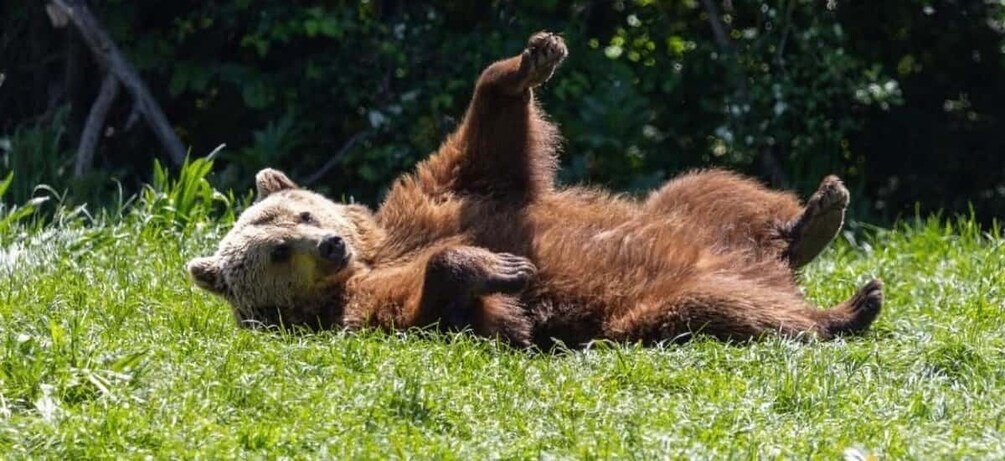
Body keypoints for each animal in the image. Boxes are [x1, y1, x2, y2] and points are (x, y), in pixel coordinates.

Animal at [188, 32, 882, 348]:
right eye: (277, 250)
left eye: (304, 214)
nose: (331, 245)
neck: (372, 255)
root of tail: (767, 270)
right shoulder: (358, 311)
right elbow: (449, 311)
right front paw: (500, 267)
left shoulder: (434, 204)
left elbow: (484, 153)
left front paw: (532, 59)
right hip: (652, 307)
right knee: (726, 309)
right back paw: (847, 308)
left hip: (695, 219)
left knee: (708, 191)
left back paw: (818, 216)